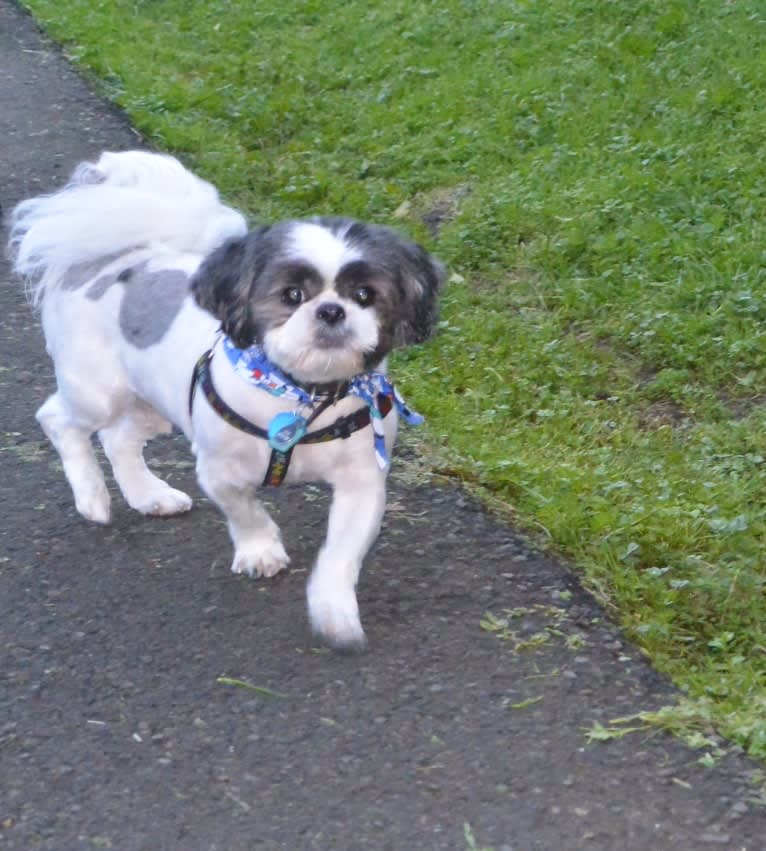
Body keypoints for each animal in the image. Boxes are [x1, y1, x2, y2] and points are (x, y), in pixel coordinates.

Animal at [9, 150, 444, 648]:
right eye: (291, 294)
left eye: (365, 295)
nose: (332, 311)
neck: (301, 396)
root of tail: (110, 258)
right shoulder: (218, 471)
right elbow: (246, 511)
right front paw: (260, 551)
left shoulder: (362, 481)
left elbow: (341, 553)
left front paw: (334, 610)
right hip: (97, 391)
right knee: (58, 419)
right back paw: (92, 497)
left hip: (153, 405)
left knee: (119, 440)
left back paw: (149, 495)